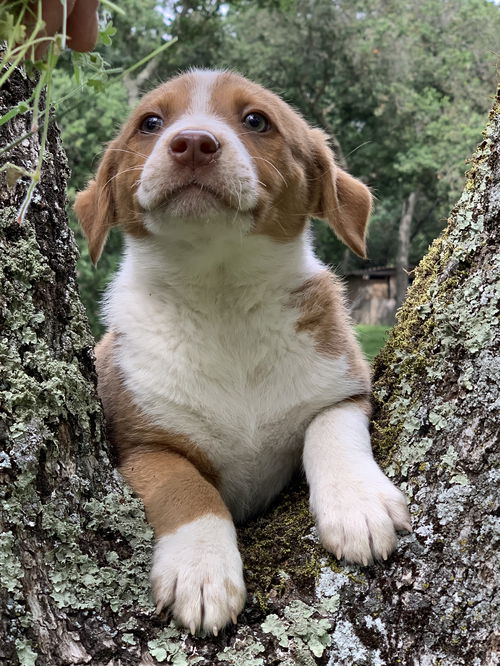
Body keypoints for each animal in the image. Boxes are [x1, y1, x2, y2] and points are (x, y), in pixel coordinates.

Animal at [74, 68, 410, 632]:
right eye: (151, 123)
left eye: (256, 121)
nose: (192, 143)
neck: (222, 296)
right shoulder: (142, 445)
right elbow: (187, 489)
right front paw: (201, 571)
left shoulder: (345, 389)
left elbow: (330, 431)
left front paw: (359, 505)